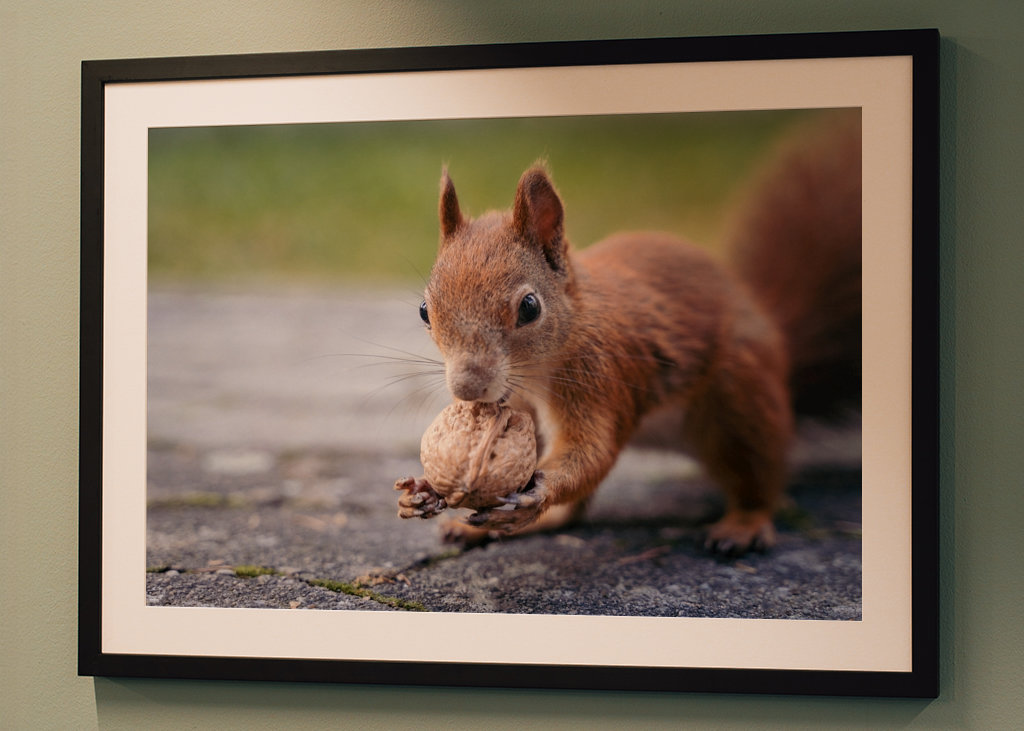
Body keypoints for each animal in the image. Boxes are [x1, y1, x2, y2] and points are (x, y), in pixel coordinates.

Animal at [401, 111, 861, 555]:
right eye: (425, 311)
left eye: (529, 308)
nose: (467, 388)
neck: (537, 370)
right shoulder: (516, 405)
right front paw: (426, 490)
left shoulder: (600, 377)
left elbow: (592, 452)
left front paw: (537, 493)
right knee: (572, 515)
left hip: (741, 399)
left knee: (758, 478)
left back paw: (743, 526)